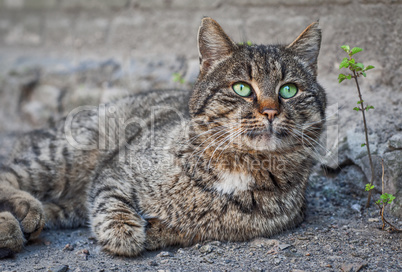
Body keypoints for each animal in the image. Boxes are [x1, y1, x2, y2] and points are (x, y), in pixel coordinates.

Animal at [0, 16, 326, 258]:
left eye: (289, 90)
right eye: (242, 88)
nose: (270, 111)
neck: (240, 164)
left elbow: (174, 229)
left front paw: (152, 230)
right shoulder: (116, 168)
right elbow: (112, 203)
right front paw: (125, 232)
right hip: (64, 159)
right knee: (9, 174)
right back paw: (21, 216)